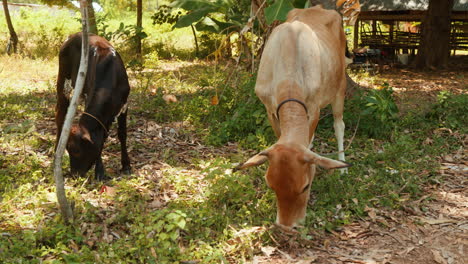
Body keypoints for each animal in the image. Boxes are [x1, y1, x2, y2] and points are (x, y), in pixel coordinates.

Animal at [56, 32, 131, 182]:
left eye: (76, 150)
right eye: (68, 149)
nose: (75, 174)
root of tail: (73, 35)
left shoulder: (124, 105)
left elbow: (122, 134)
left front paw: (126, 165)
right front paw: (100, 171)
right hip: (63, 81)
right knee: (60, 114)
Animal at [238, 6, 352, 229]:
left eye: (306, 186)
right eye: (270, 185)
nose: (286, 226)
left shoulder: (314, 108)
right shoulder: (270, 109)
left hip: (340, 86)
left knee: (339, 125)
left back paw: (342, 166)